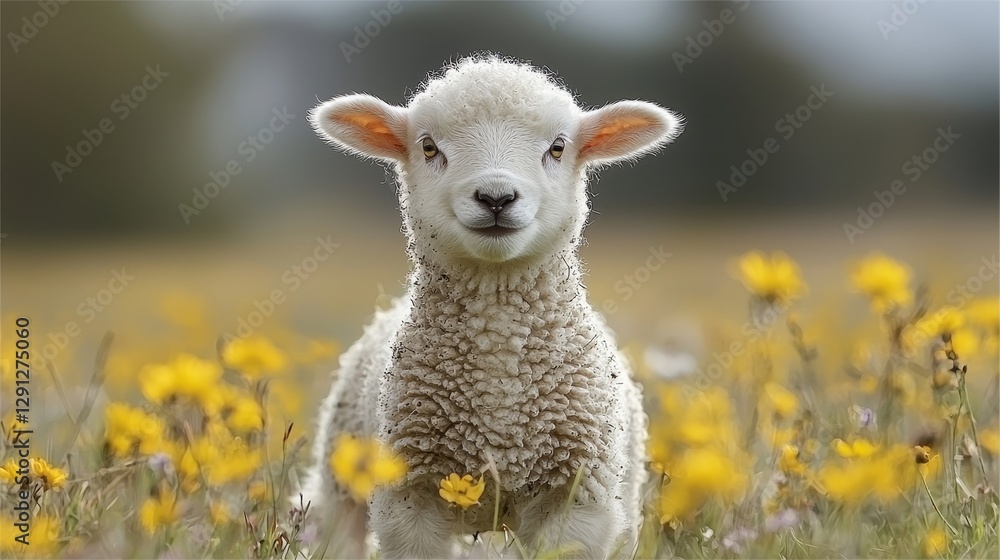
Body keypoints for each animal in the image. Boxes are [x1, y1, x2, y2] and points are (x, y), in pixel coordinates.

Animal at [299, 55, 683, 559]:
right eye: (428, 147)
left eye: (558, 147)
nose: (496, 197)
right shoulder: (410, 494)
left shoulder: (578, 497)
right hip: (342, 480)